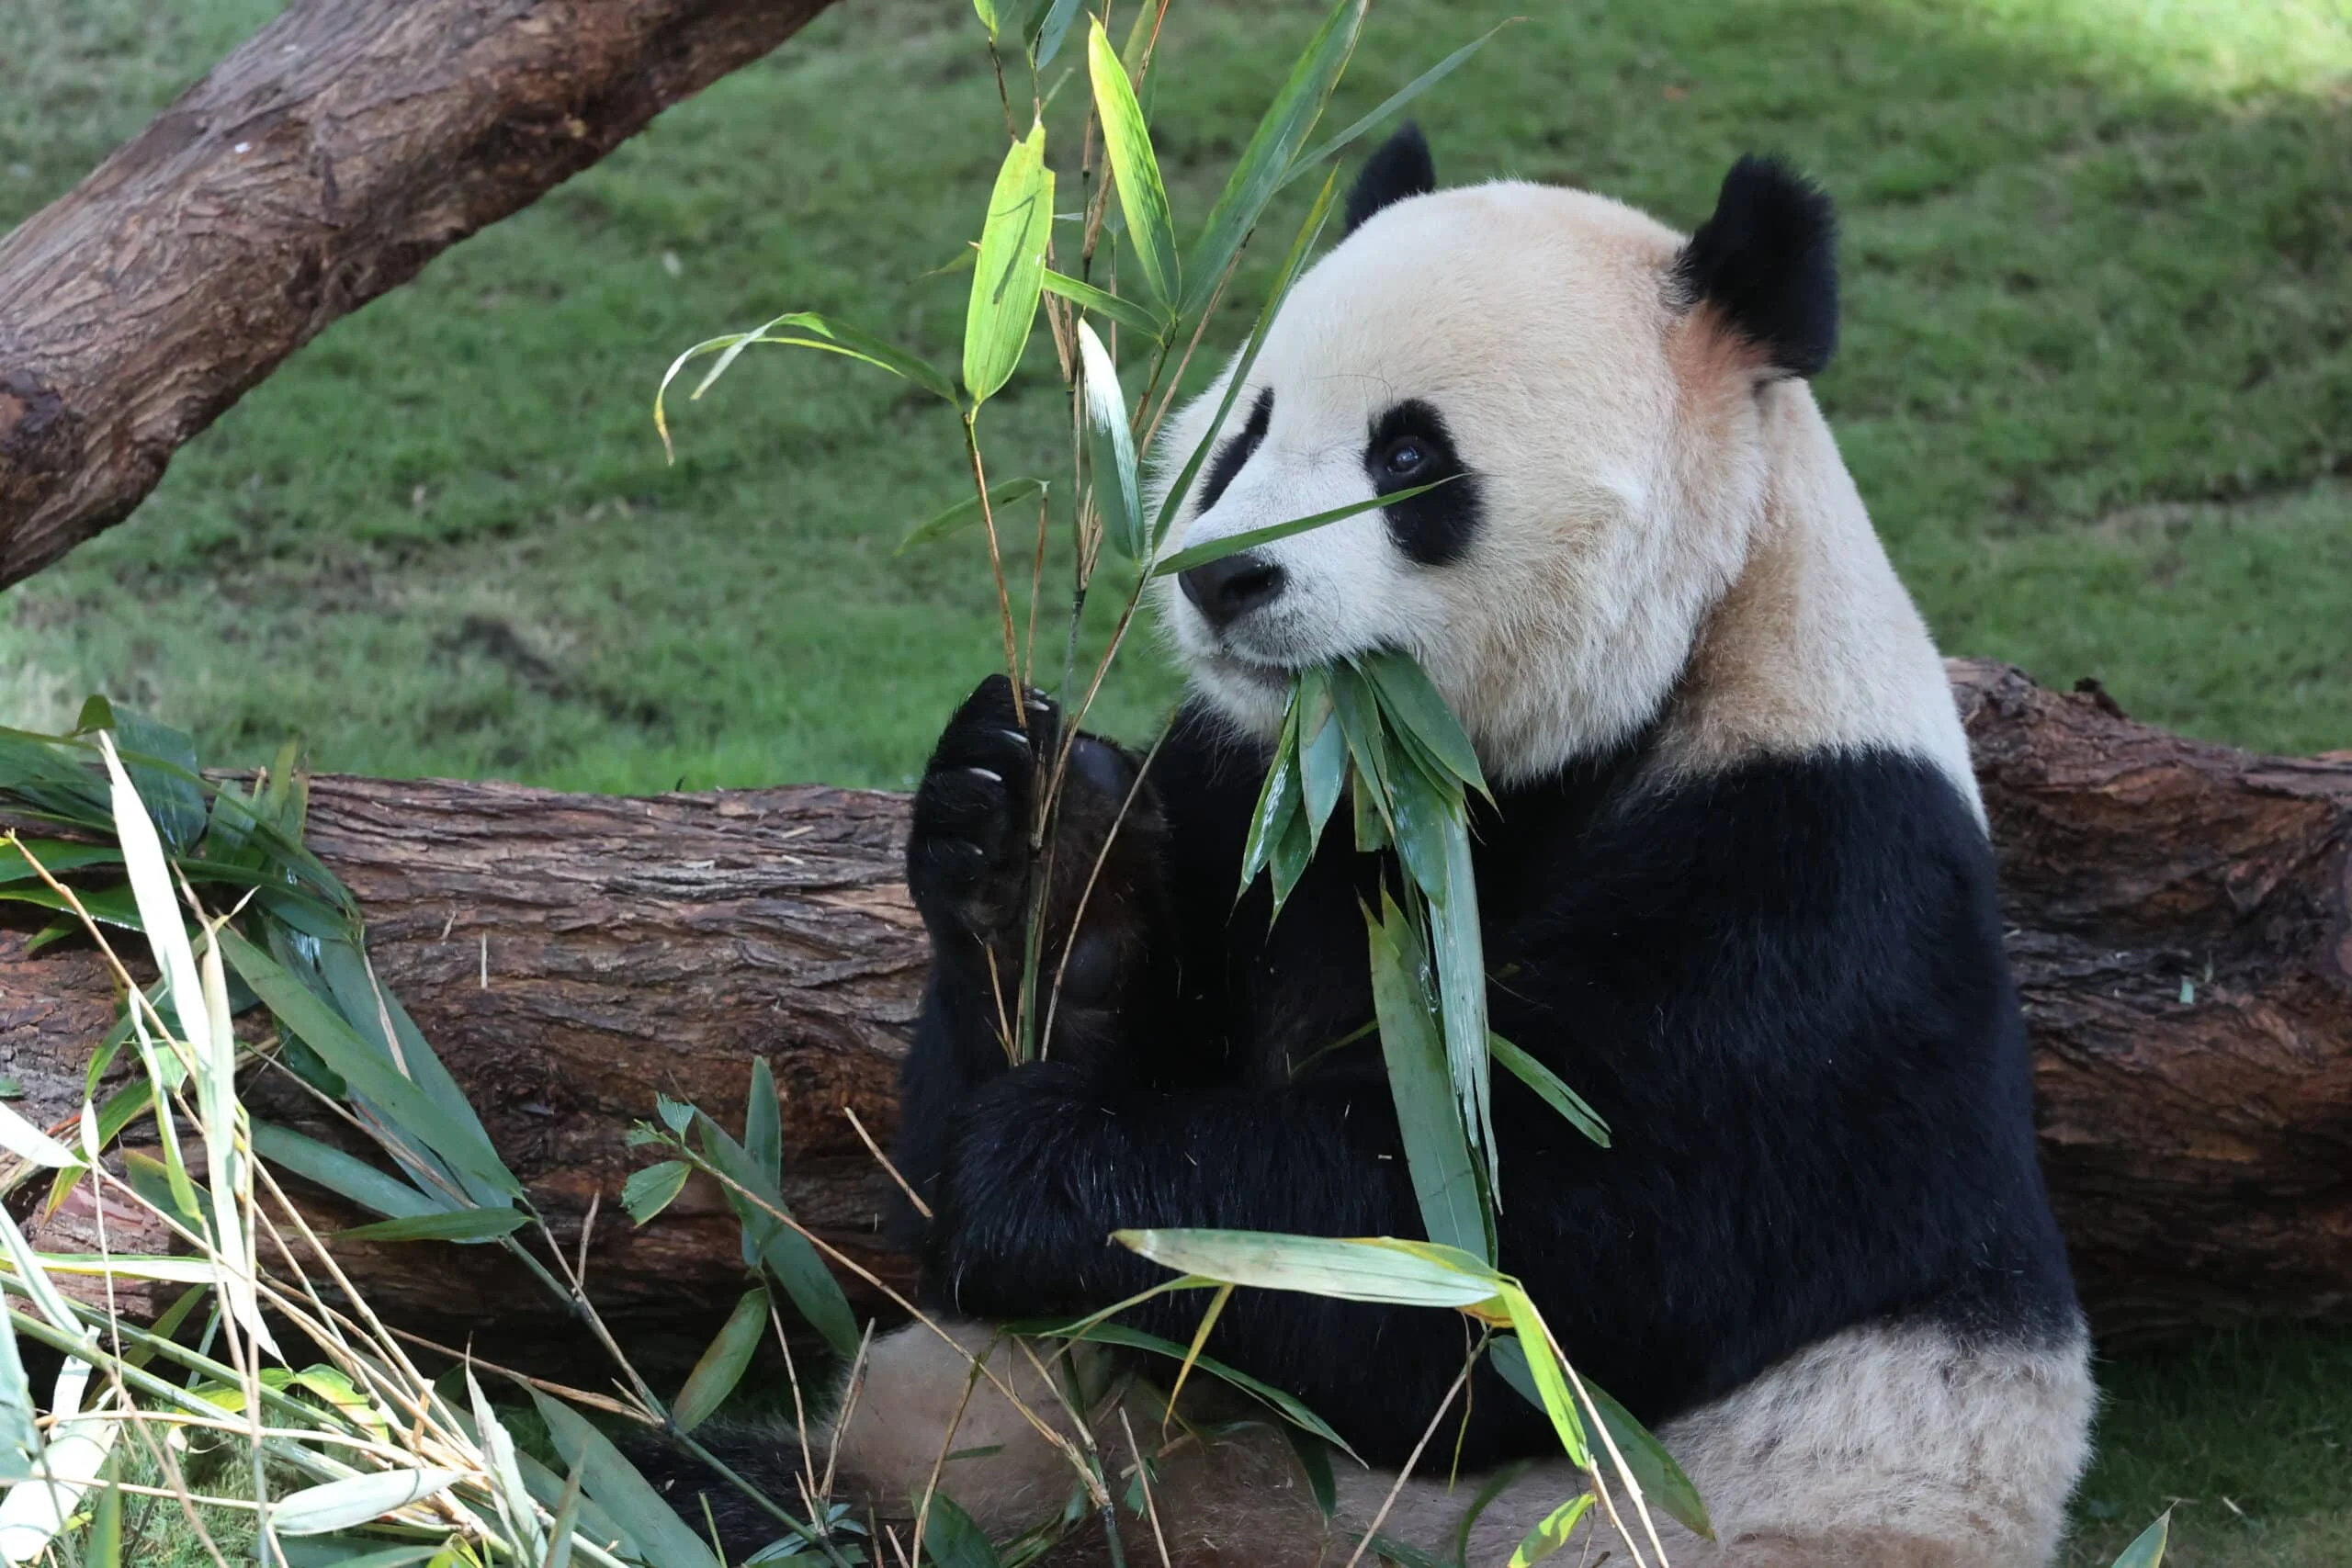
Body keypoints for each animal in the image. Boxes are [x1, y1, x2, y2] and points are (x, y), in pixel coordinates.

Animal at [659, 125, 2094, 1568]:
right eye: (1246, 430)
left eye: (1407, 457)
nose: (1224, 577)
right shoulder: (1257, 789)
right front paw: (1039, 861)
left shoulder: (1809, 883)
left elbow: (1503, 1273)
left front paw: (1044, 1169)